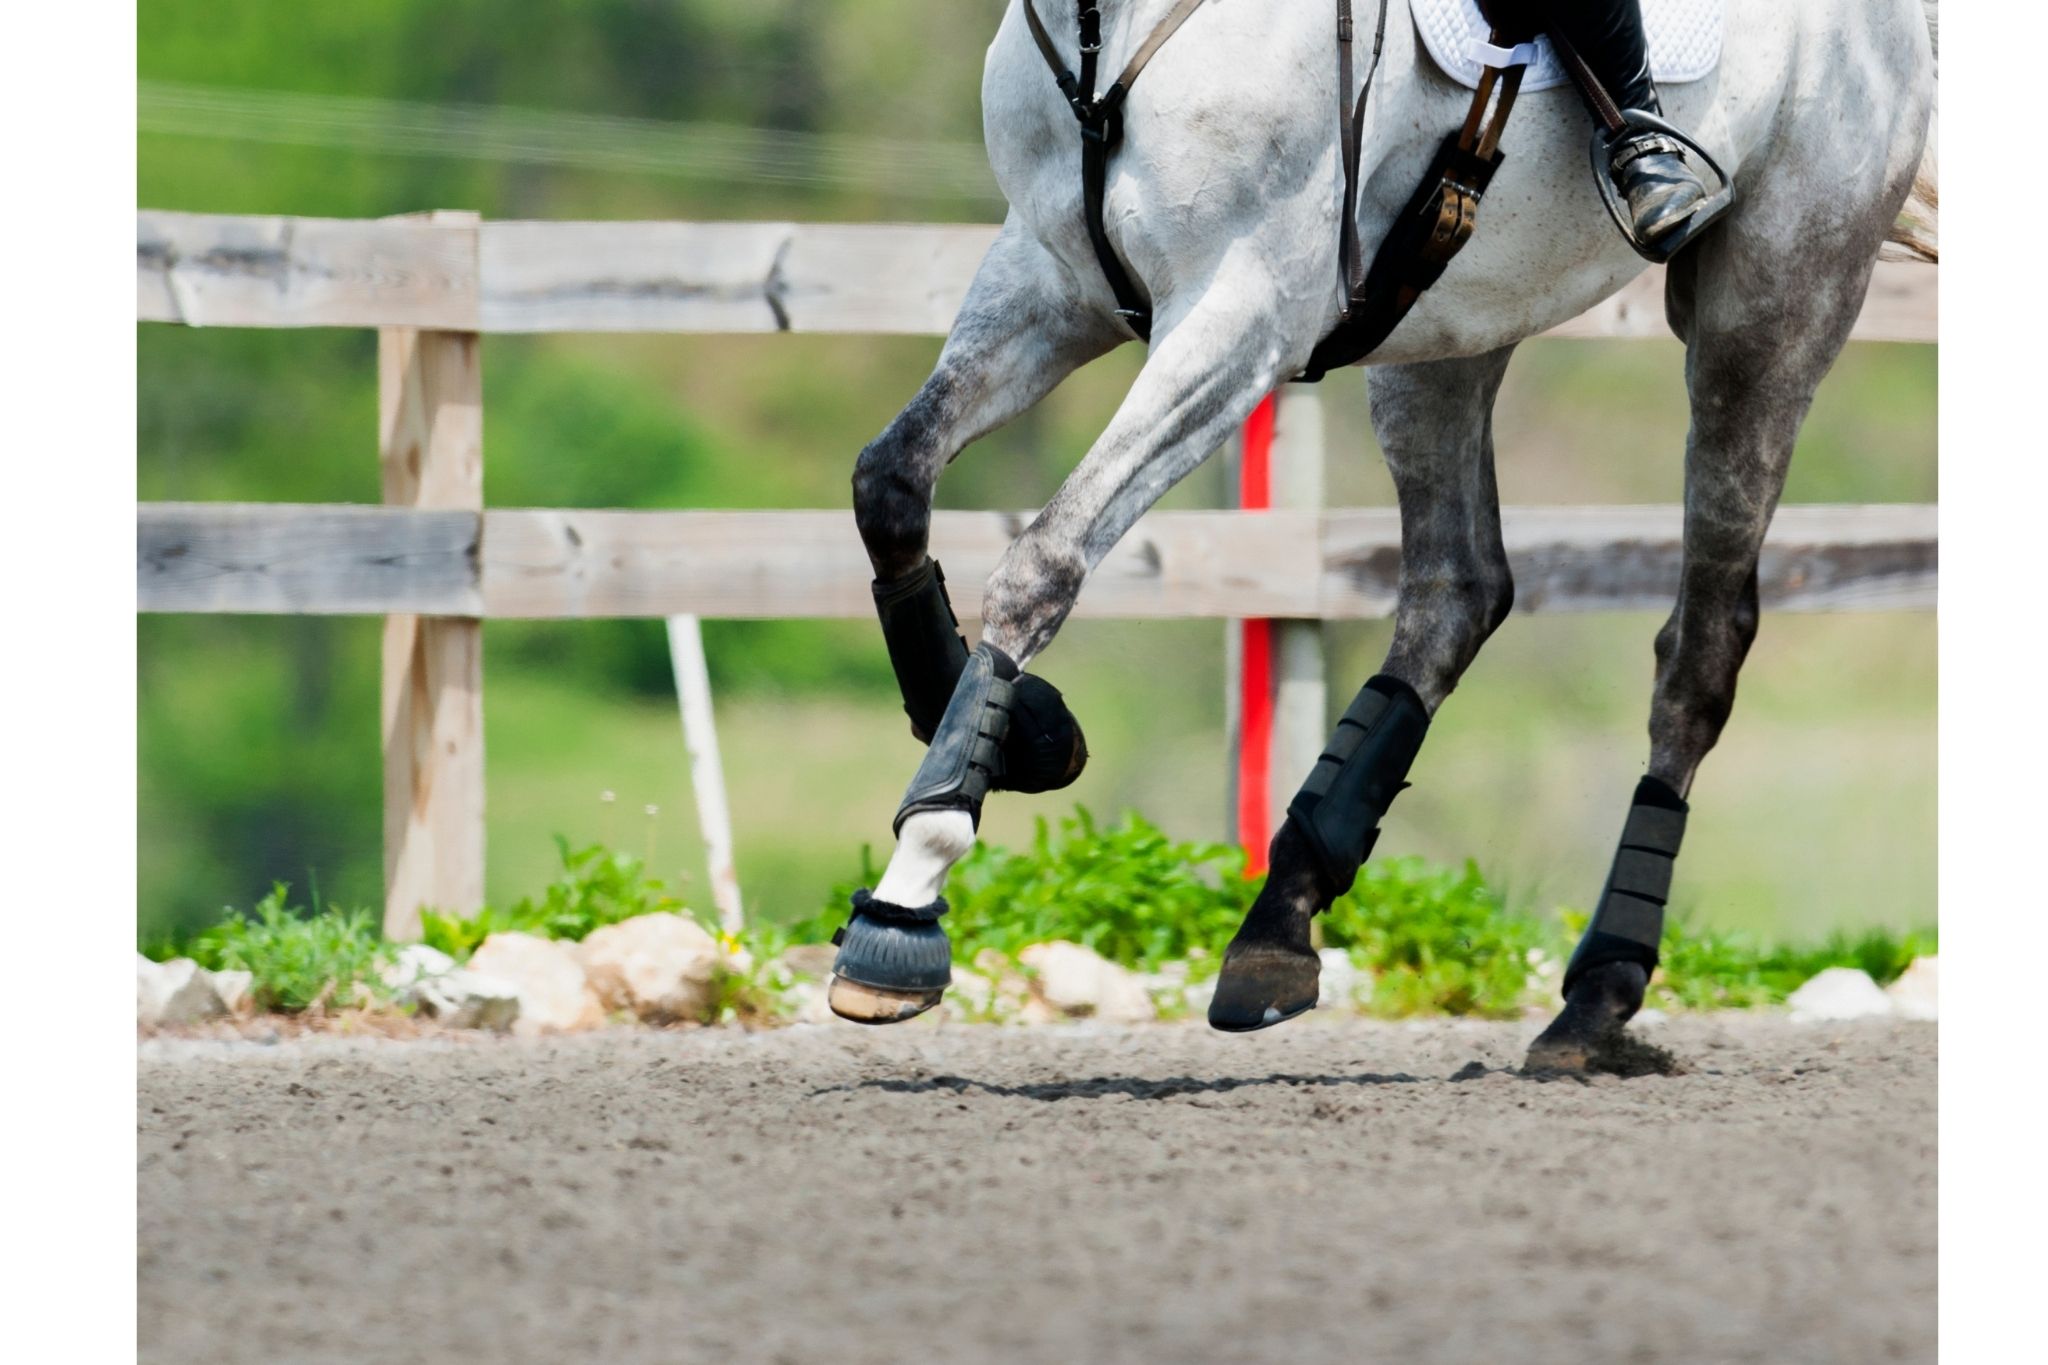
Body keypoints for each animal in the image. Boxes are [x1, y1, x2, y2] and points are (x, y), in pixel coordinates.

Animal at [827, 0, 1937, 1068]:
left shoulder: (1238, 321)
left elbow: (1043, 562)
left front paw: (909, 892)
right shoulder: (1048, 279)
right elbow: (889, 481)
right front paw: (1029, 732)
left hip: (1771, 307)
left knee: (1699, 642)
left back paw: (1596, 995)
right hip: (1449, 317)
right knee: (1456, 592)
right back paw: (1276, 927)